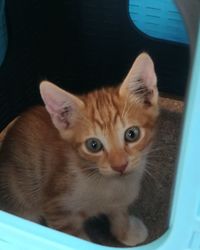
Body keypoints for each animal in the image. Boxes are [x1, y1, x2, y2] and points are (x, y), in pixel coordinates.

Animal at [0, 53, 159, 246]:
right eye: (93, 145)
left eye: (132, 134)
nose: (120, 166)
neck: (110, 185)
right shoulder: (57, 210)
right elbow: (77, 238)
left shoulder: (119, 199)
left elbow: (119, 213)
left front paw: (126, 232)